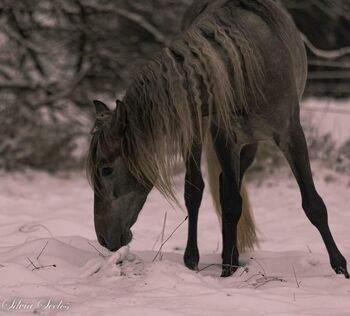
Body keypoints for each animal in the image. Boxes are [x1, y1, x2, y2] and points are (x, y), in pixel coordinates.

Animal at [86, 0, 348, 278]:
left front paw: (340, 267)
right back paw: (195, 258)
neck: (243, 70)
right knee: (197, 190)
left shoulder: (291, 135)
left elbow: (313, 205)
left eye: (105, 170)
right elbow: (230, 203)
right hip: (198, 133)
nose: (103, 239)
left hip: (250, 145)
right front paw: (227, 270)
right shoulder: (224, 138)